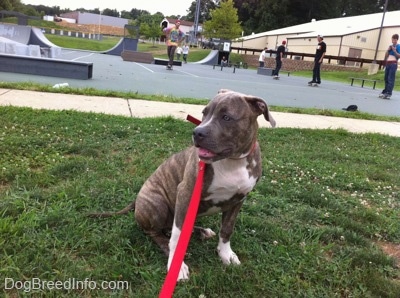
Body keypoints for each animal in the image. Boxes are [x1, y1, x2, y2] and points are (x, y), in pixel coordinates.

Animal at [91, 89, 276, 280]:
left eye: (226, 117)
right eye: (204, 113)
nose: (197, 132)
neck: (232, 162)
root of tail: (136, 200)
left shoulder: (238, 200)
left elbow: (227, 230)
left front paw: (226, 255)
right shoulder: (185, 193)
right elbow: (177, 236)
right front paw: (176, 265)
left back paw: (201, 231)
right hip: (158, 204)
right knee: (156, 232)